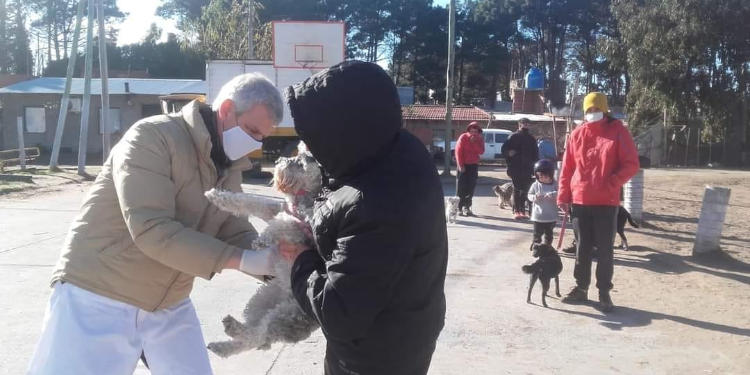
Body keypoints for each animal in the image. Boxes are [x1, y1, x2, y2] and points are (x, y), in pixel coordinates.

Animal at [206, 145, 324, 358]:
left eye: (301, 163)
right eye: (297, 154)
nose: (278, 161)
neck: (303, 196)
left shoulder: (304, 227)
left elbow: (283, 224)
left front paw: (263, 240)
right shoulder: (274, 208)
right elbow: (250, 201)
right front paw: (216, 196)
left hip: (286, 314)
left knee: (259, 336)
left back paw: (232, 332)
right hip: (261, 300)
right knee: (255, 334)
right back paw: (225, 338)